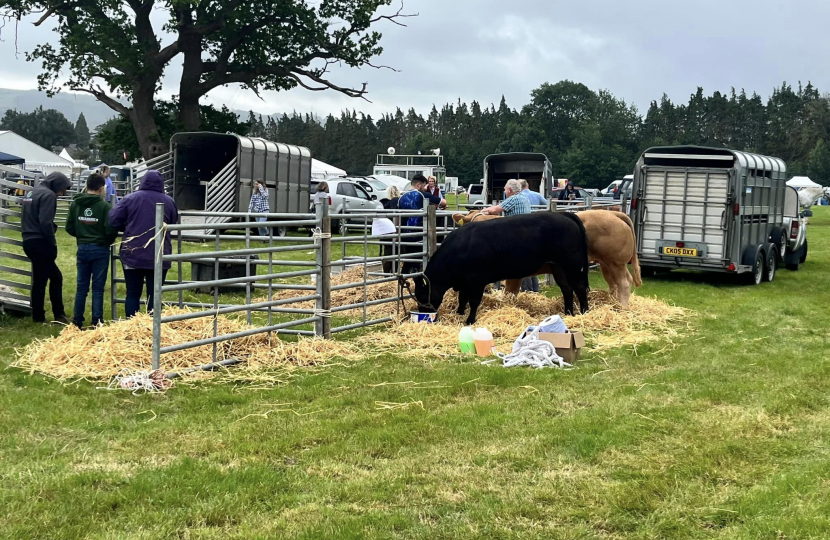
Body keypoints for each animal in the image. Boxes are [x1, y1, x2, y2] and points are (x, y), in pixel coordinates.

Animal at [414, 211, 592, 322]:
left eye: (422, 296)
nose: (423, 313)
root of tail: (563, 214)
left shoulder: (477, 280)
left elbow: (474, 301)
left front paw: (470, 320)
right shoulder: (465, 282)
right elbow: (462, 299)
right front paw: (459, 314)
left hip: (572, 265)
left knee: (579, 288)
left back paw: (584, 312)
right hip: (557, 267)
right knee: (567, 289)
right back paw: (568, 312)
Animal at [456, 209, 644, 306]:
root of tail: (613, 214)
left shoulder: (514, 275)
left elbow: (510, 292)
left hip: (616, 262)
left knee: (624, 282)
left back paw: (622, 307)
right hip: (605, 264)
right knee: (614, 285)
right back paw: (613, 304)